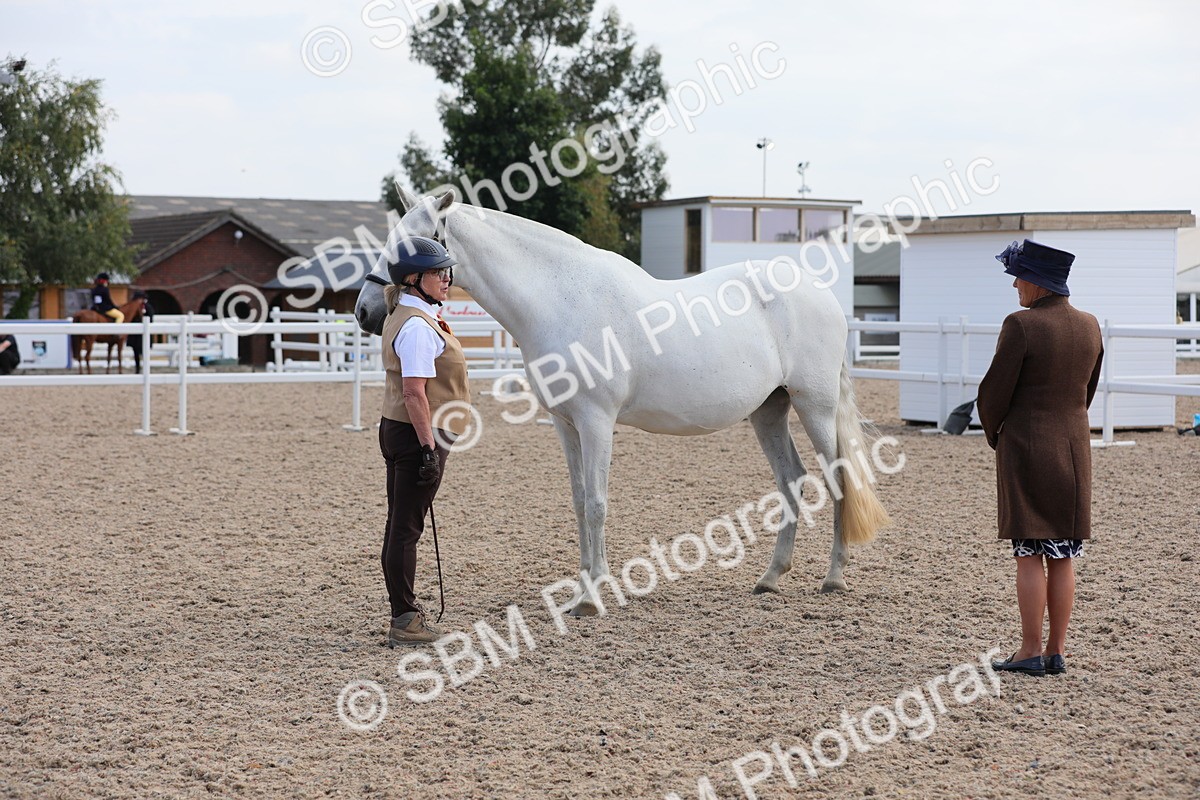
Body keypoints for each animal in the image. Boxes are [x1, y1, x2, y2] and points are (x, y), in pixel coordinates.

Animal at [355, 189, 891, 616]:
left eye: (413, 242)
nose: (366, 311)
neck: (559, 298)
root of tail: (821, 295)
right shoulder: (566, 424)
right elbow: (577, 503)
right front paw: (583, 589)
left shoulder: (596, 421)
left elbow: (596, 503)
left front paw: (593, 598)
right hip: (769, 411)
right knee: (792, 480)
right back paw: (771, 577)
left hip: (814, 405)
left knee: (839, 477)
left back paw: (834, 577)